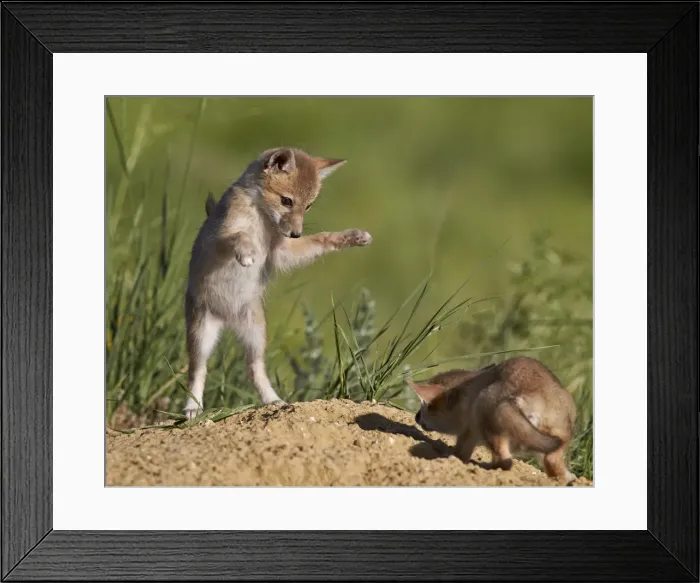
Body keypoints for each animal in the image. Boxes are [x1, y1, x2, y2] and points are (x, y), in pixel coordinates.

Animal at [183, 147, 372, 420]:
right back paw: (192, 407)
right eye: (287, 201)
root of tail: (227, 320)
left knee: (254, 370)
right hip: (201, 337)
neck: (262, 222)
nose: (295, 233)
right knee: (197, 371)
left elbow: (321, 239)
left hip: (255, 337)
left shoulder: (282, 254)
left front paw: (352, 237)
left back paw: (273, 401)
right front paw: (247, 251)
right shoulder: (218, 239)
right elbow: (239, 236)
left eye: (308, 206)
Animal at [407, 356, 577, 484]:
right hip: (557, 444)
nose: (416, 417)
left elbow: (460, 452)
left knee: (505, 461)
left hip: (487, 419)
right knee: (553, 465)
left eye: (427, 407)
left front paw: (448, 457)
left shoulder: (468, 433)